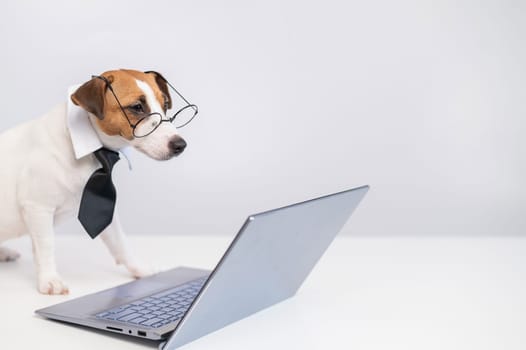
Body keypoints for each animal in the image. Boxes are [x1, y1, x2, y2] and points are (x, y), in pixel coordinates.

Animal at [0, 69, 188, 294]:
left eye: (165, 105)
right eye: (137, 107)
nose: (180, 145)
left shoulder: (103, 206)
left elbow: (120, 242)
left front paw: (138, 269)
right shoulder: (38, 207)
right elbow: (46, 245)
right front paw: (49, 279)